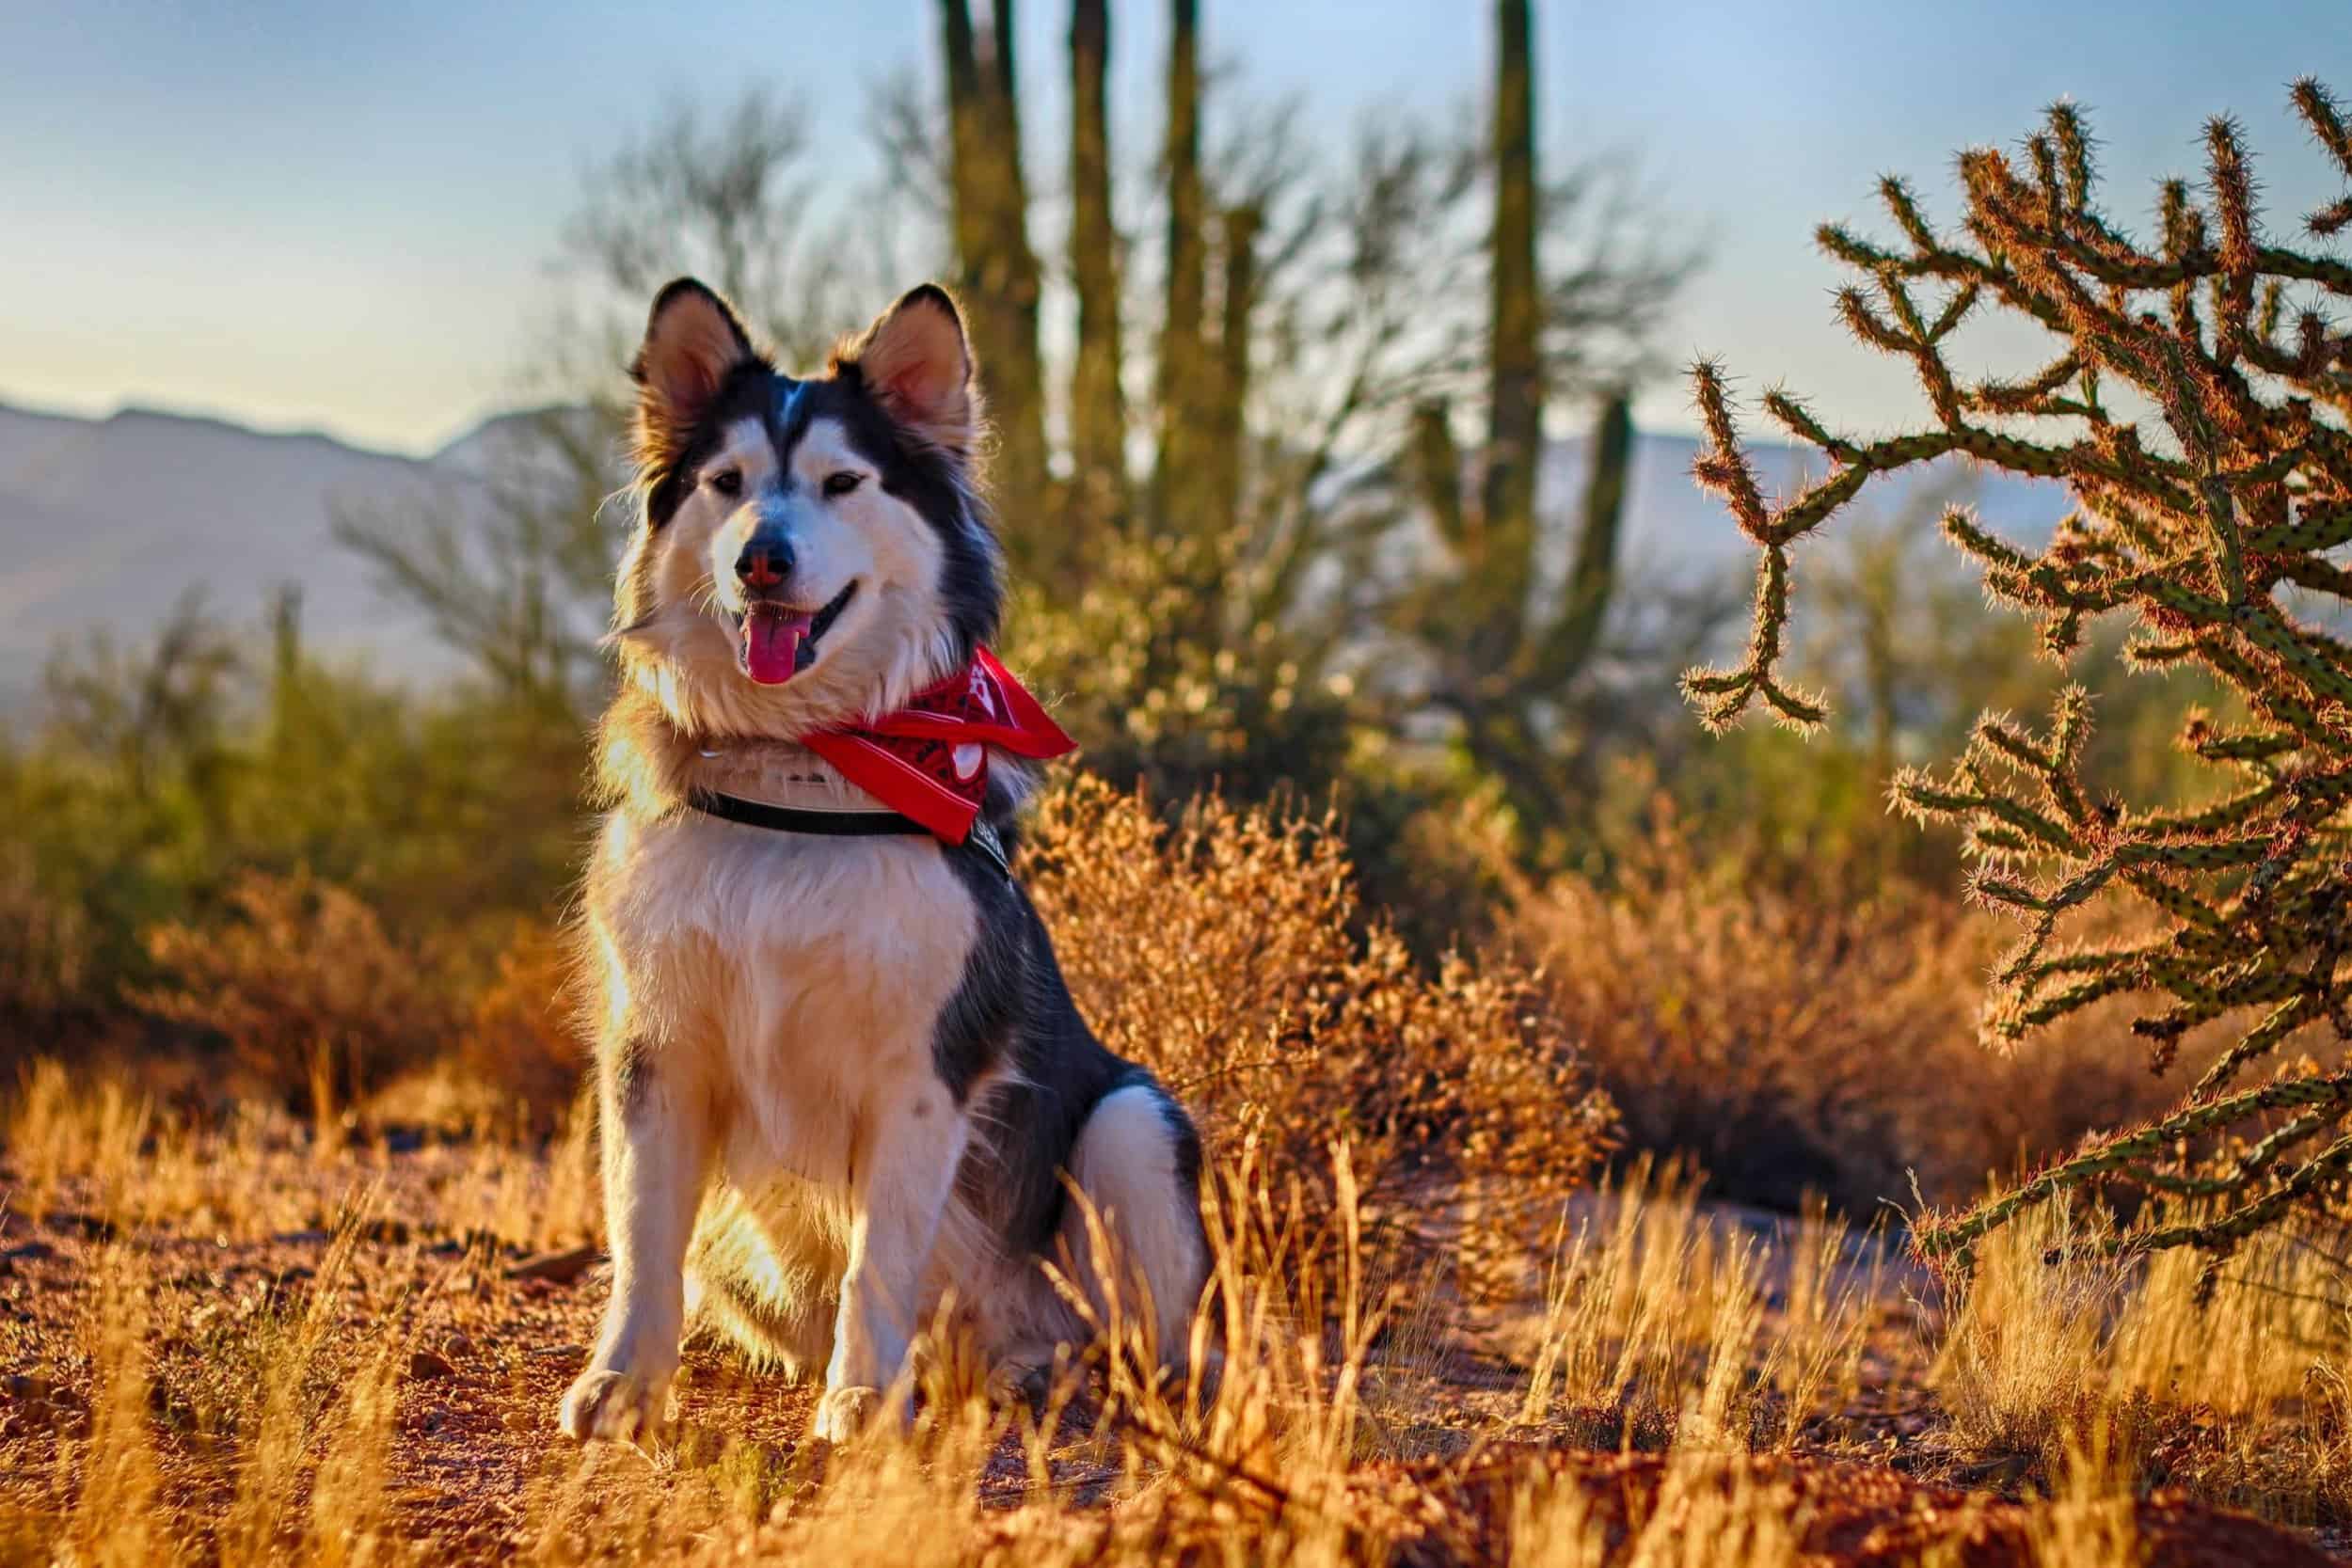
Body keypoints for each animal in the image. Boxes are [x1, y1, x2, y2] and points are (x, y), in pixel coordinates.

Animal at [560, 276, 1204, 1438]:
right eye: (727, 483)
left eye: (842, 482)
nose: (760, 557)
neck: (797, 770)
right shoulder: (655, 1049)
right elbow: (642, 1238)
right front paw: (624, 1380)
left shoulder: (920, 1071)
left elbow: (878, 1261)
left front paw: (860, 1398)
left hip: (1135, 1125)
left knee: (1140, 1342)